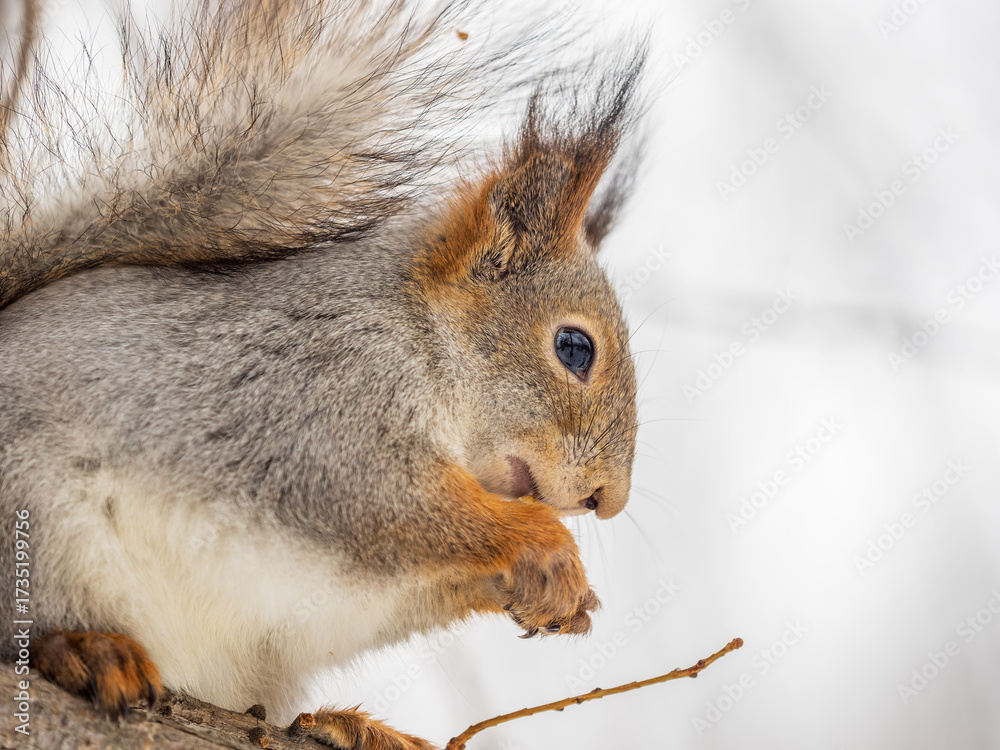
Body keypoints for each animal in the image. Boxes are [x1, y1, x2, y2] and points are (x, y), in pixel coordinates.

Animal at [0, 0, 645, 747]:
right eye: (574, 348)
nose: (607, 500)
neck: (420, 336)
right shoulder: (318, 400)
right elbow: (388, 502)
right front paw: (544, 543)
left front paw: (552, 593)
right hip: (34, 524)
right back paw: (85, 648)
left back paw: (346, 723)